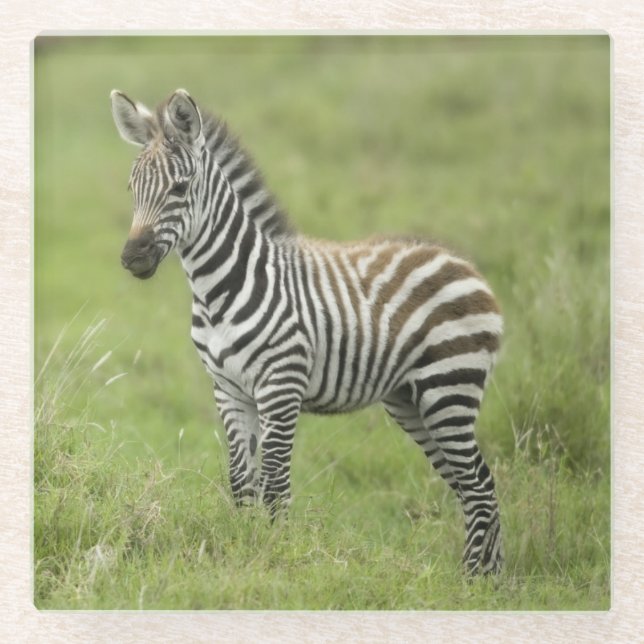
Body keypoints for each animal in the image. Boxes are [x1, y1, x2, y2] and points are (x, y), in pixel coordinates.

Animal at [111, 88, 504, 575]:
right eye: (132, 189)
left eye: (180, 188)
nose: (132, 258)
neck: (219, 290)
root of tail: (464, 264)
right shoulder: (228, 389)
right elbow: (241, 484)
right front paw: (244, 549)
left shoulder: (280, 386)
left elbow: (275, 486)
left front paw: (274, 558)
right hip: (412, 401)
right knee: (471, 485)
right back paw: (492, 579)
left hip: (449, 388)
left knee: (480, 486)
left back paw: (473, 580)